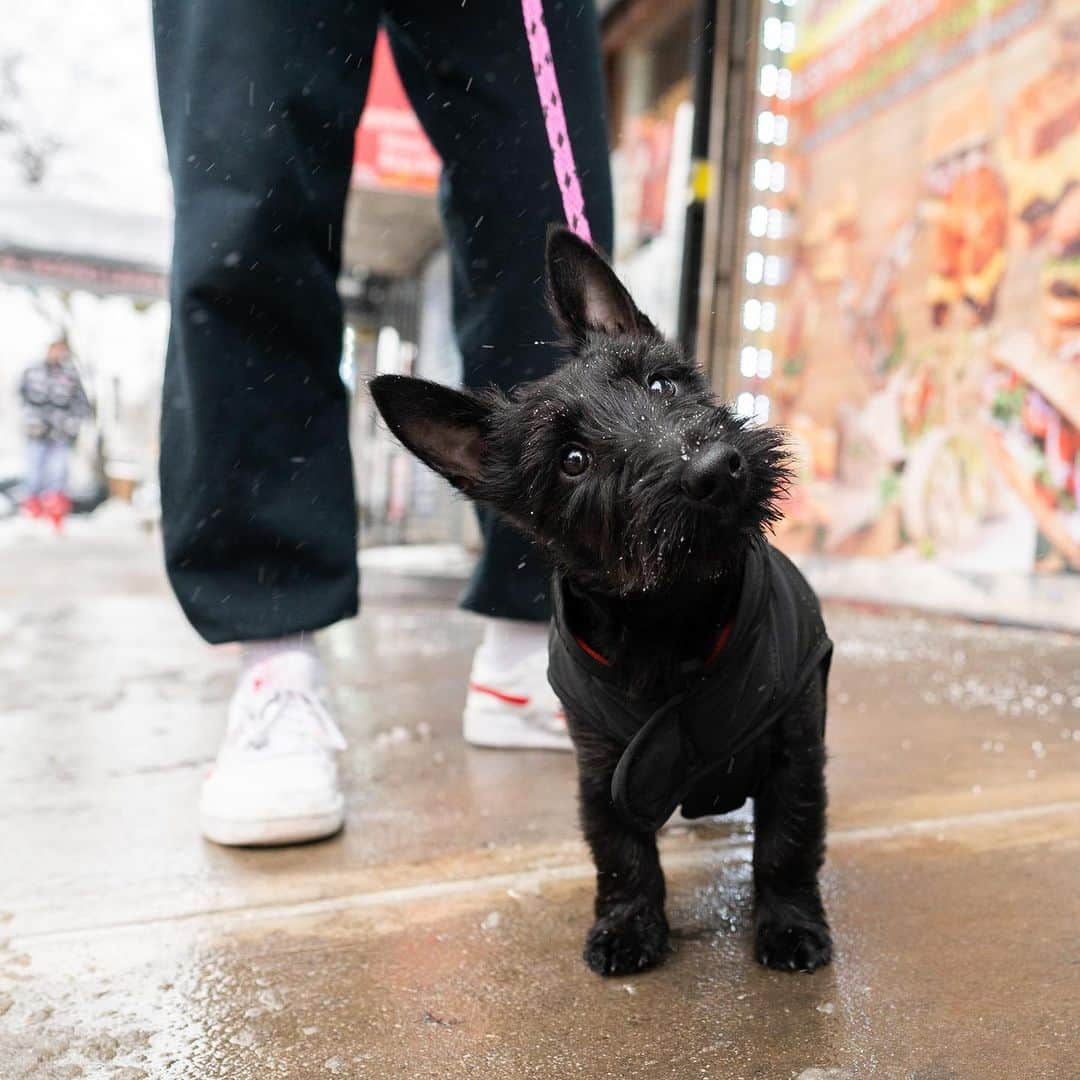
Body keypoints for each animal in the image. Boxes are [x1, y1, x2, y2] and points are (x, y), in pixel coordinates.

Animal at [371, 227, 833, 980]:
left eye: (662, 382)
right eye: (572, 462)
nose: (716, 469)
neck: (671, 619)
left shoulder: (796, 745)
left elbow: (787, 842)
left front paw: (791, 927)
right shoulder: (601, 769)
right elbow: (622, 856)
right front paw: (627, 928)